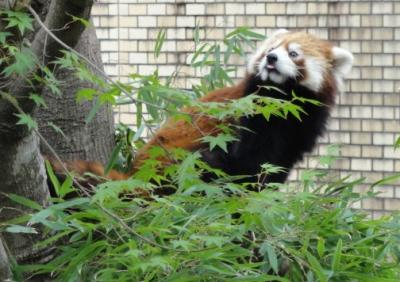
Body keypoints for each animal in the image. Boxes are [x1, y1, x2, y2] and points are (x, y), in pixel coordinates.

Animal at [52, 29, 354, 187]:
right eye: (271, 48)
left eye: (293, 53)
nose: (271, 58)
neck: (281, 107)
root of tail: (136, 175)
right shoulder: (249, 118)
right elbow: (245, 162)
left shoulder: (299, 134)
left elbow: (272, 167)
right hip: (177, 162)